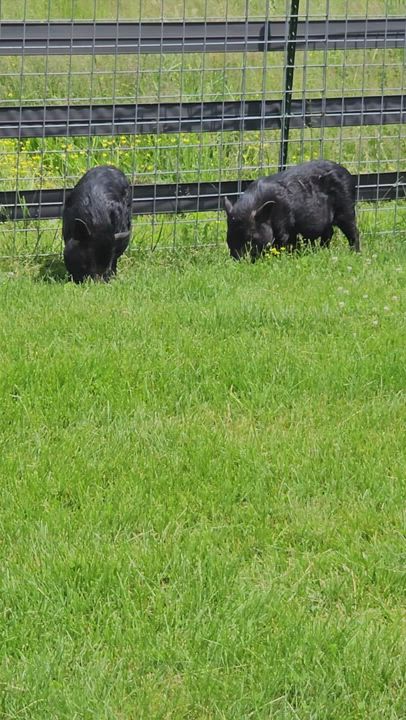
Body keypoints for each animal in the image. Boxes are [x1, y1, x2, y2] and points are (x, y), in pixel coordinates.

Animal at [224, 160, 360, 260]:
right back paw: (321, 250)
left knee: (354, 232)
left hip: (347, 208)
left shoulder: (284, 224)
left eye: (251, 237)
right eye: (229, 237)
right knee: (329, 232)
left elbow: (282, 242)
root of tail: (348, 174)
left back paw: (356, 253)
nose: (238, 260)